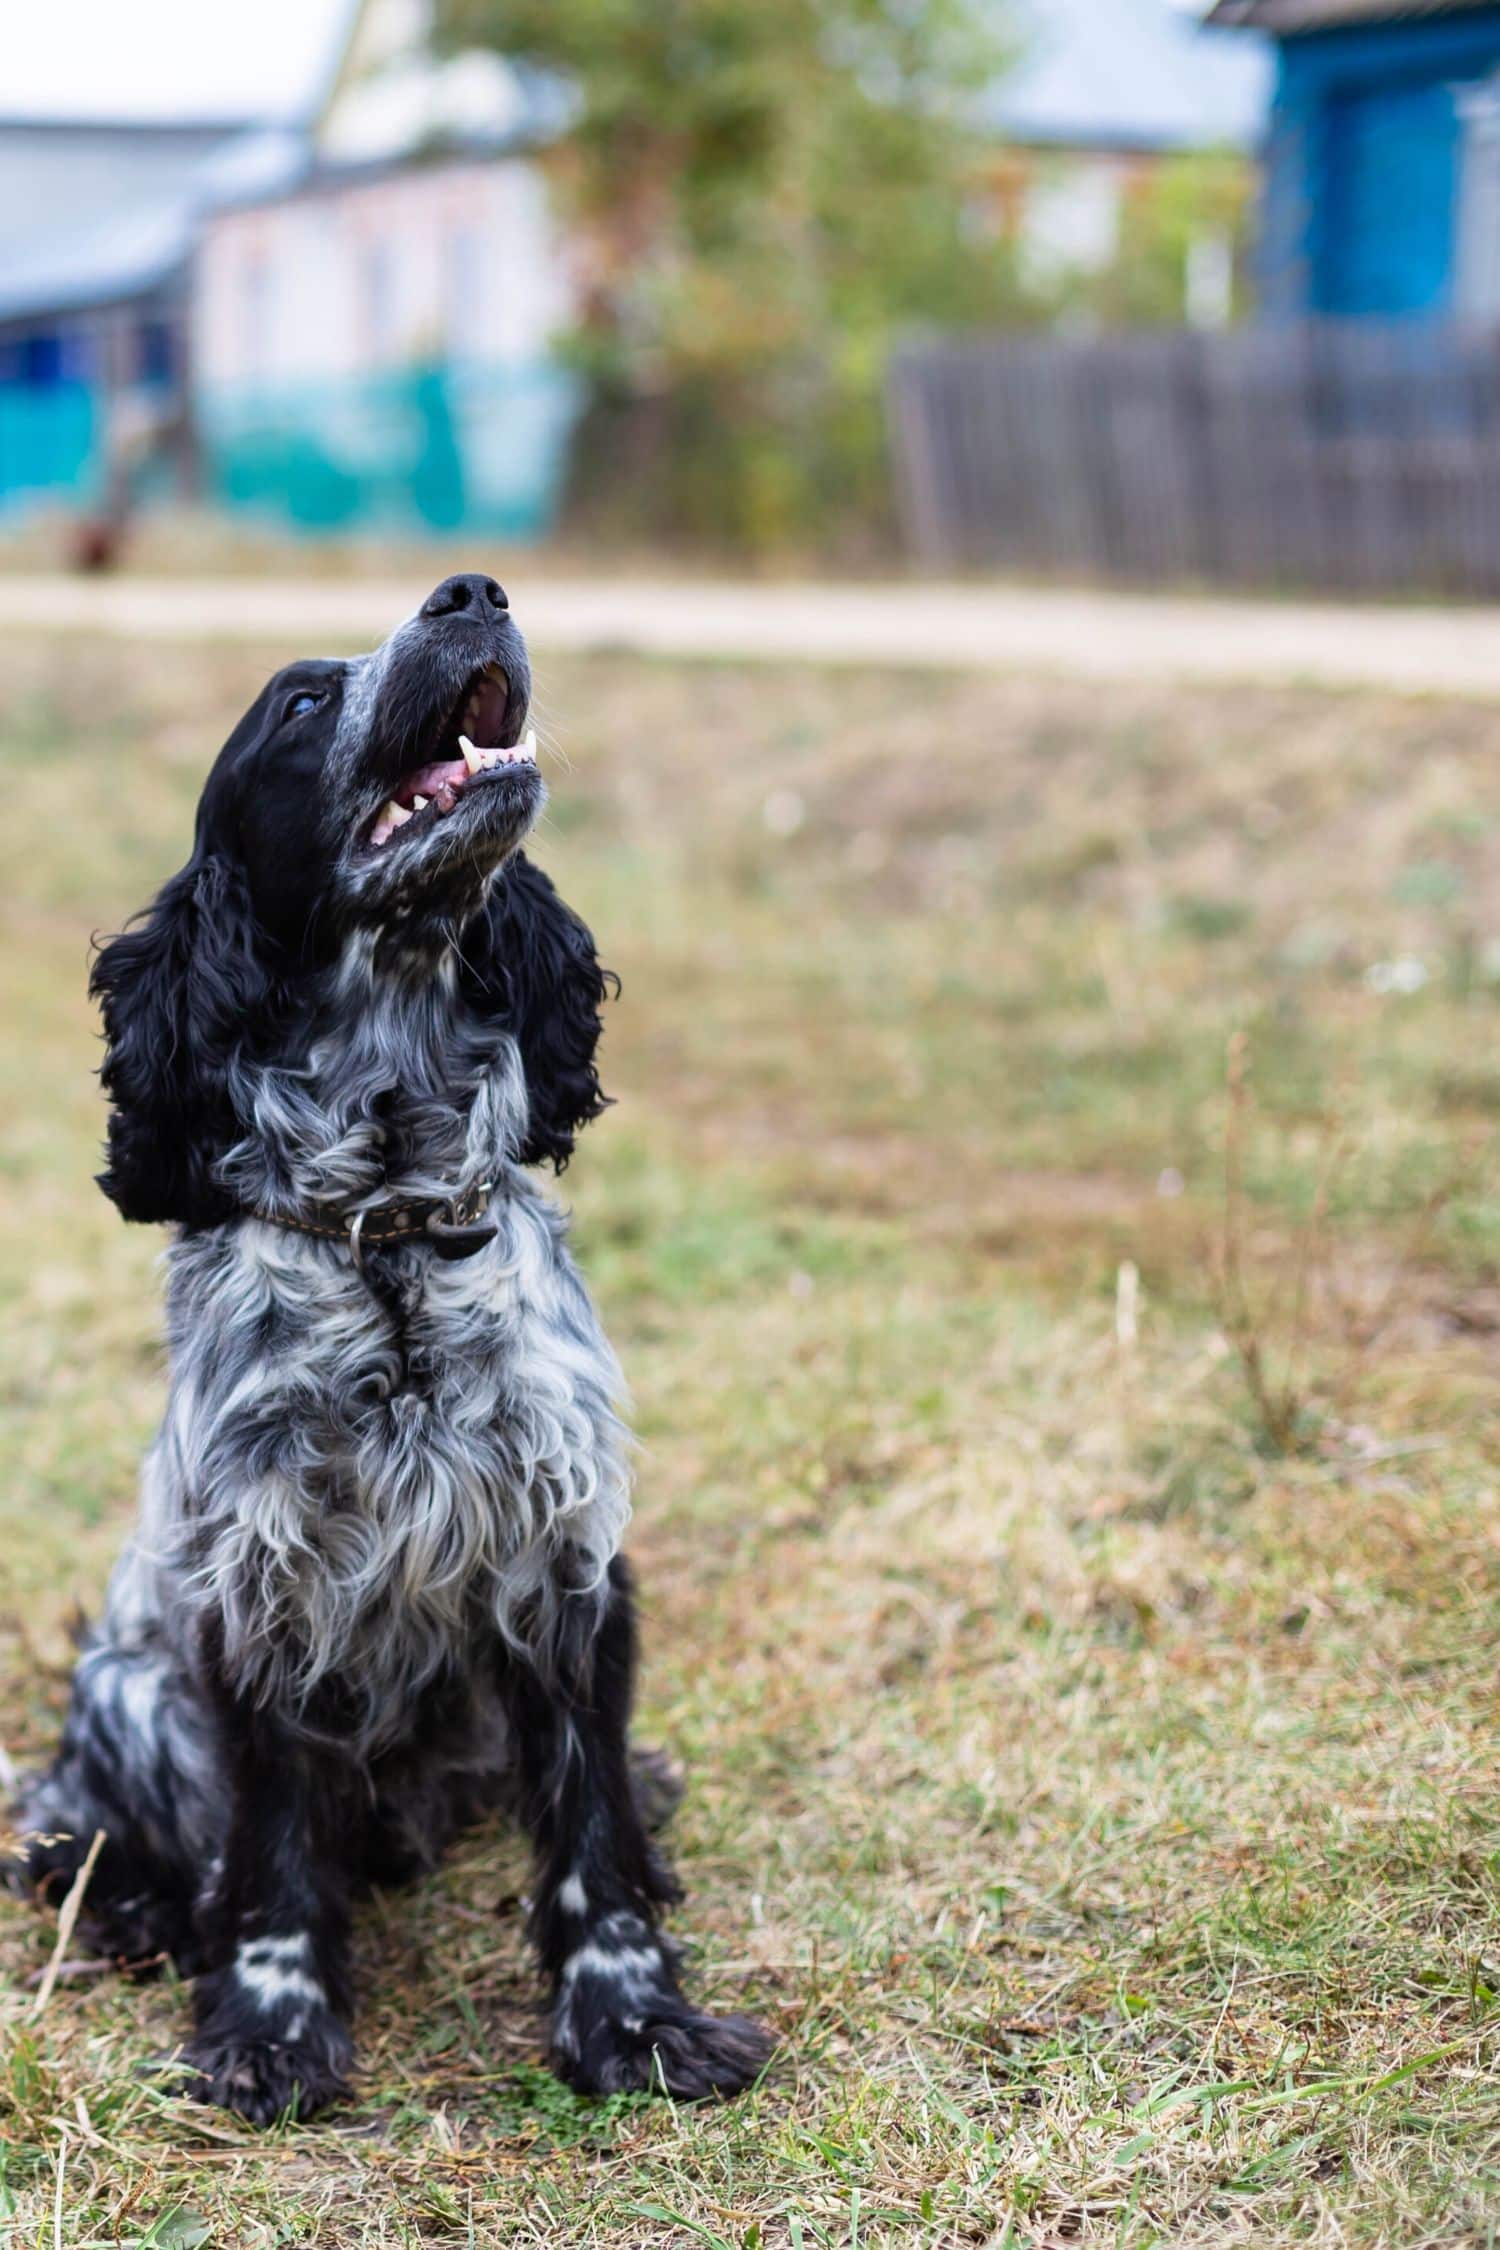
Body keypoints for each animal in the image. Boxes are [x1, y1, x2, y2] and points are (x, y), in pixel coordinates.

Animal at [2, 571, 773, 2115]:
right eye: (304, 700)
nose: (471, 591)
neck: (392, 1226)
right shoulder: (252, 1588)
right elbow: (272, 1855)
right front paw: (270, 2026)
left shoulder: (564, 1562)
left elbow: (590, 1841)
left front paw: (637, 2023)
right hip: (125, 1681)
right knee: (97, 1834)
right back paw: (140, 1905)